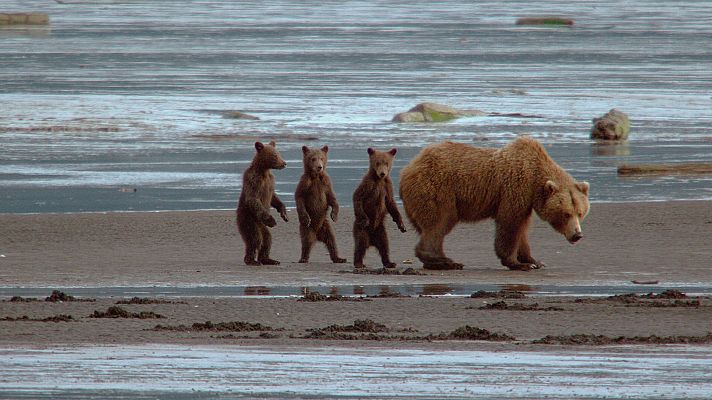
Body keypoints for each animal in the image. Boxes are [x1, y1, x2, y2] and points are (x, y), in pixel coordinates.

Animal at [399, 136, 589, 271]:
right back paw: (444, 261)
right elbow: (510, 224)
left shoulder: (526, 201)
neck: (535, 180)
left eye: (580, 213)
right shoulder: (514, 189)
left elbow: (522, 229)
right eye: (566, 213)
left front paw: (535, 261)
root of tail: (408, 168)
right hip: (437, 188)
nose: (577, 235)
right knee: (440, 222)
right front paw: (518, 263)